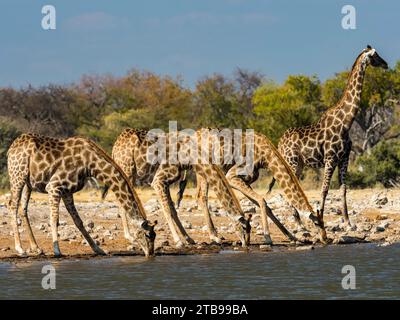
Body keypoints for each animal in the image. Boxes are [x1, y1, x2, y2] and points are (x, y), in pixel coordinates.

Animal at [6, 132, 156, 258]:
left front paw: (99, 249)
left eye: (155, 235)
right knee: (12, 206)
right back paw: (20, 249)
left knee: (23, 208)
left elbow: (79, 221)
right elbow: (54, 219)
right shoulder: (54, 187)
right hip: (17, 176)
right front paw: (57, 251)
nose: (150, 254)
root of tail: (11, 149)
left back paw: (36, 248)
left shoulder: (67, 191)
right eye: (148, 235)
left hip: (28, 183)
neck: (90, 164)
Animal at [110, 128, 253, 248]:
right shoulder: (158, 180)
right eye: (244, 227)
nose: (246, 244)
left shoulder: (167, 182)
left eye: (250, 228)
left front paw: (189, 238)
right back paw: (129, 236)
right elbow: (167, 209)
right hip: (127, 169)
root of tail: (115, 146)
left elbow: (173, 209)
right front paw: (179, 241)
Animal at [177, 129, 326, 244]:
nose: (325, 239)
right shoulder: (231, 176)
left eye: (324, 223)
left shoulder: (246, 180)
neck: (265, 157)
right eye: (316, 223)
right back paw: (214, 236)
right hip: (203, 171)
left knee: (200, 196)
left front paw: (291, 236)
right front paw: (268, 237)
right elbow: (262, 200)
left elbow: (264, 204)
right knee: (202, 197)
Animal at [268, 46, 388, 229]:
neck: (346, 122)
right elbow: (325, 189)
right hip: (291, 161)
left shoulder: (344, 158)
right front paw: (322, 219)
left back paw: (299, 221)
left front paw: (348, 222)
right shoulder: (330, 158)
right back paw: (299, 223)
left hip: (299, 163)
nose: (386, 64)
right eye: (375, 55)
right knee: (288, 187)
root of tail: (279, 142)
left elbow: (343, 189)